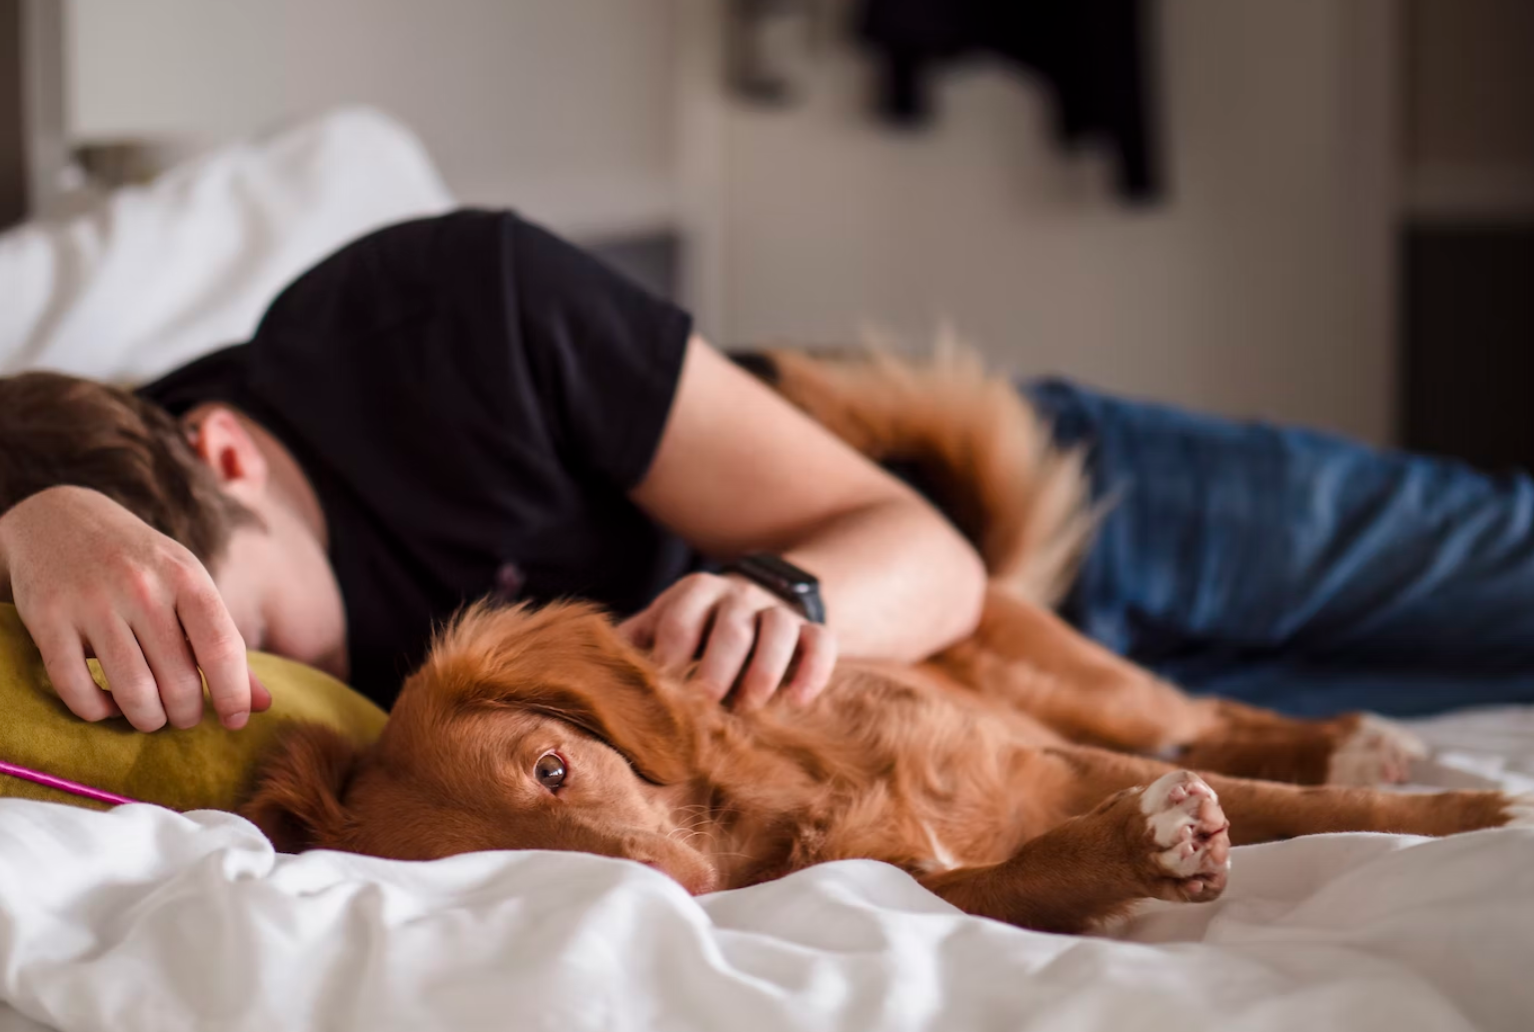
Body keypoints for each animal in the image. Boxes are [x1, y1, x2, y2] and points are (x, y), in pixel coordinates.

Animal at [239, 348, 1521, 932]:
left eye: (553, 768)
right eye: (506, 866)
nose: (683, 890)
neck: (772, 804)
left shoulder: (1048, 757)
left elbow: (1308, 810)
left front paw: (1474, 814)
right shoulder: (922, 880)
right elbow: (1025, 872)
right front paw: (1140, 848)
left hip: (1094, 692)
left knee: (1211, 715)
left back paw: (1358, 739)